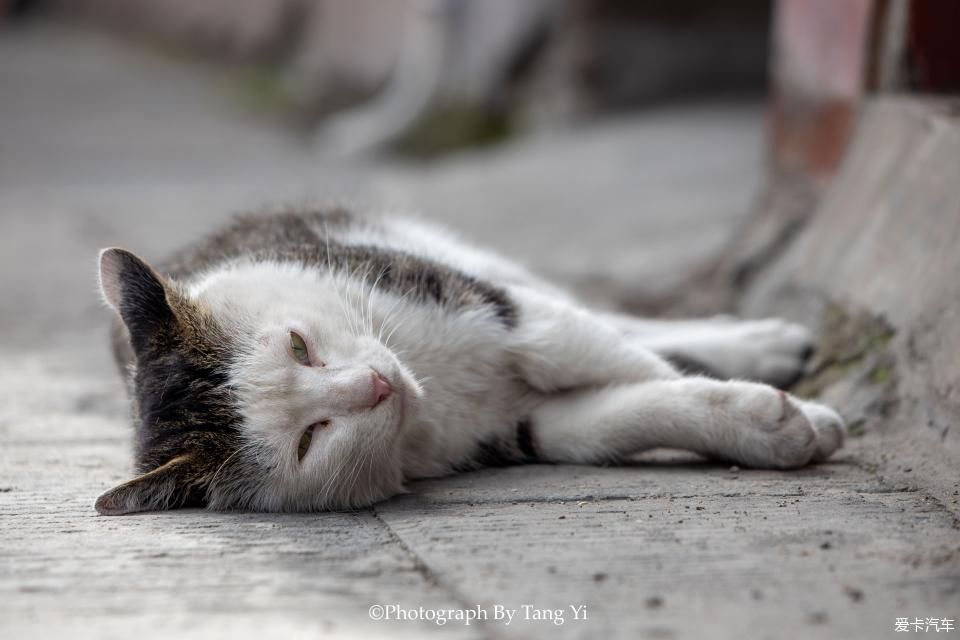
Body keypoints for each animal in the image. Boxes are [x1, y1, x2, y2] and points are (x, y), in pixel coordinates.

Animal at [94, 209, 844, 516]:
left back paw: (761, 341)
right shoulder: (520, 427)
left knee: (611, 318)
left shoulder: (499, 309)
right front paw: (769, 422)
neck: (430, 392)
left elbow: (632, 363)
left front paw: (789, 413)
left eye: (299, 347)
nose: (375, 383)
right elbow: (612, 418)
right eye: (310, 439)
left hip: (462, 261)